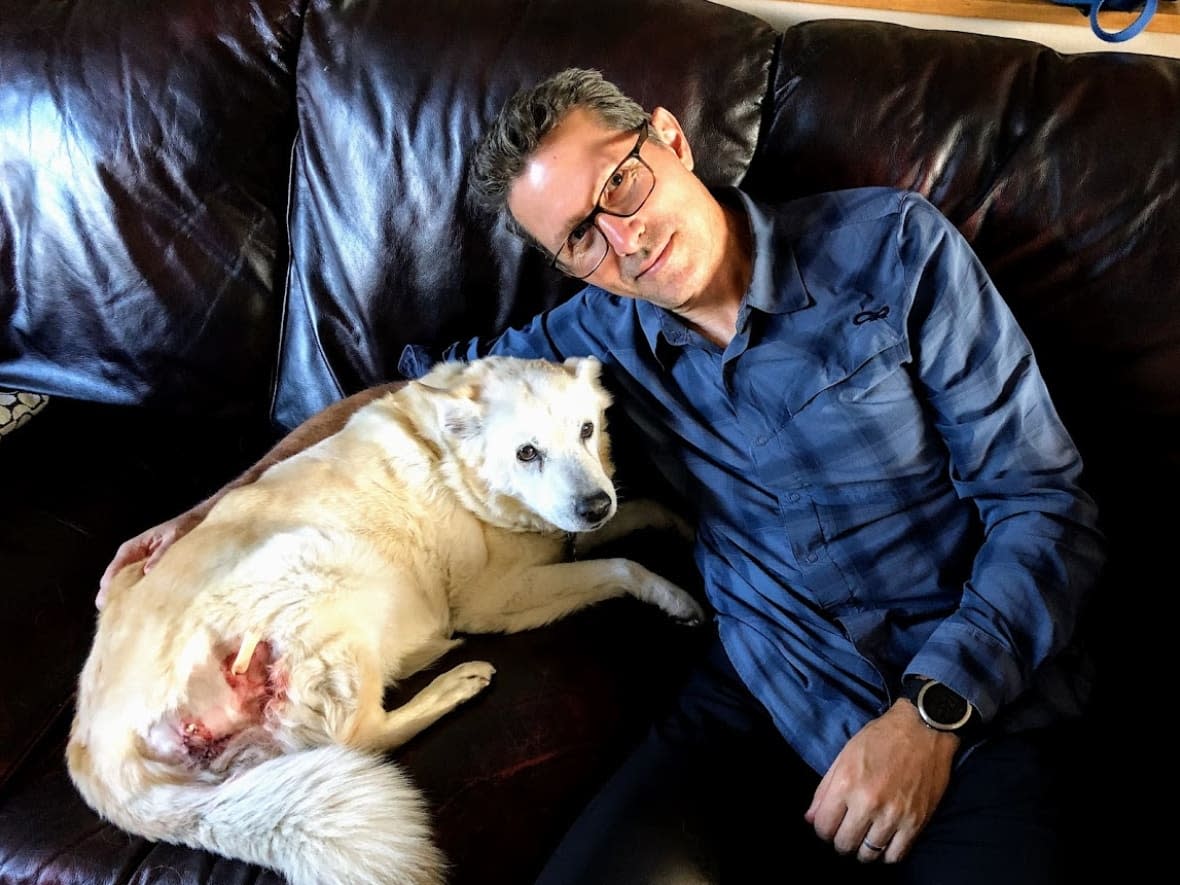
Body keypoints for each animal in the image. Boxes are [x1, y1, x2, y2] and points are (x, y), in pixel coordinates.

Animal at [66, 356, 698, 885]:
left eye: (586, 431)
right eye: (527, 453)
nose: (594, 506)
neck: (451, 462)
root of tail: (95, 751)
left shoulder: (571, 532)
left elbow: (634, 514)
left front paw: (680, 522)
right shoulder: (493, 596)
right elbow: (619, 565)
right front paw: (674, 594)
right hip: (332, 574)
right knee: (362, 735)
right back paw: (453, 681)